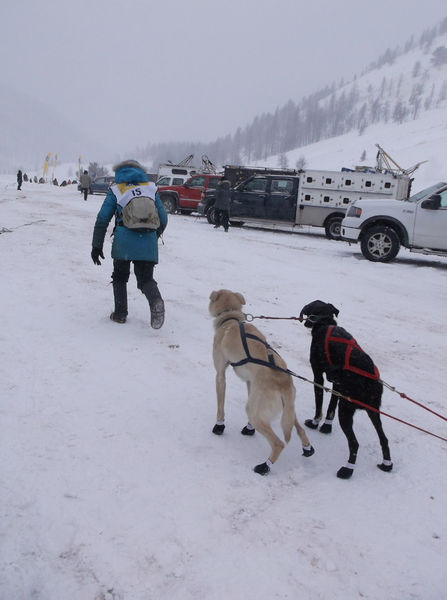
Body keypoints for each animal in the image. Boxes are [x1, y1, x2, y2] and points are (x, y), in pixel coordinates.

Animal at [300, 300, 392, 478]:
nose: (306, 322)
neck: (325, 323)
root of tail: (369, 380)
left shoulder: (318, 376)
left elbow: (320, 405)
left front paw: (315, 423)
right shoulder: (337, 385)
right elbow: (330, 407)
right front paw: (326, 427)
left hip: (346, 410)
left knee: (355, 444)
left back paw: (347, 470)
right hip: (373, 410)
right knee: (383, 438)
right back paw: (387, 464)